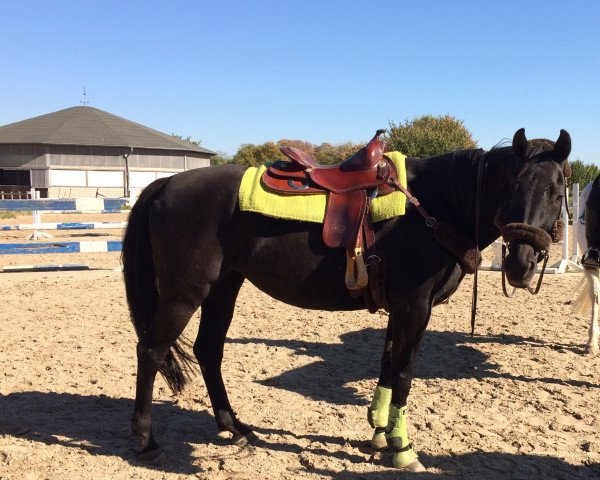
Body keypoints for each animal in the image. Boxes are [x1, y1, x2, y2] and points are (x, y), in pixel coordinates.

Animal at [122, 126, 572, 468]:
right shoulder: (415, 307)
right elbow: (405, 372)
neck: (433, 205)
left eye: (556, 190)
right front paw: (403, 449)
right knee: (151, 350)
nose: (520, 264)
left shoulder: (401, 309)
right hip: (184, 293)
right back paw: (145, 440)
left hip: (223, 288)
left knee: (208, 350)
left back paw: (233, 426)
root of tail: (166, 183)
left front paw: (380, 433)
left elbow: (388, 364)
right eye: (511, 186)